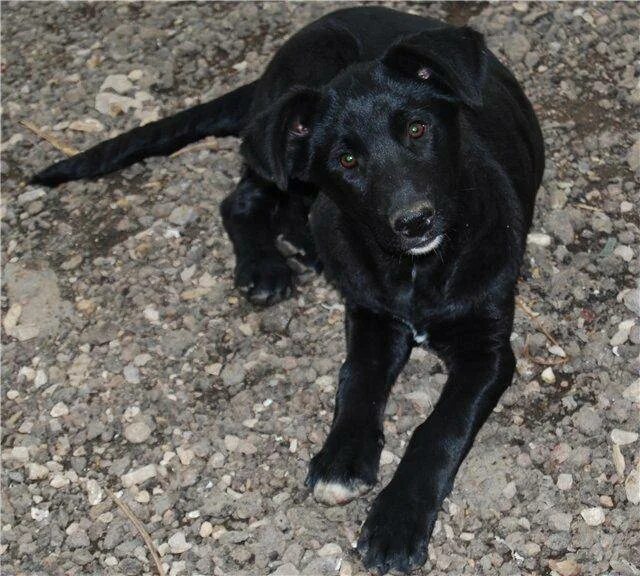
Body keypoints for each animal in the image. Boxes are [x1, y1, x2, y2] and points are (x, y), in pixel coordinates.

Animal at [32, 6, 544, 572]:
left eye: (417, 128)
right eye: (346, 161)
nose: (414, 221)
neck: (418, 271)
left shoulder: (488, 351)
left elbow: (439, 429)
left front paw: (397, 521)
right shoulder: (371, 316)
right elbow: (356, 380)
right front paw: (342, 457)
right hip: (286, 152)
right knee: (244, 199)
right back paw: (266, 265)